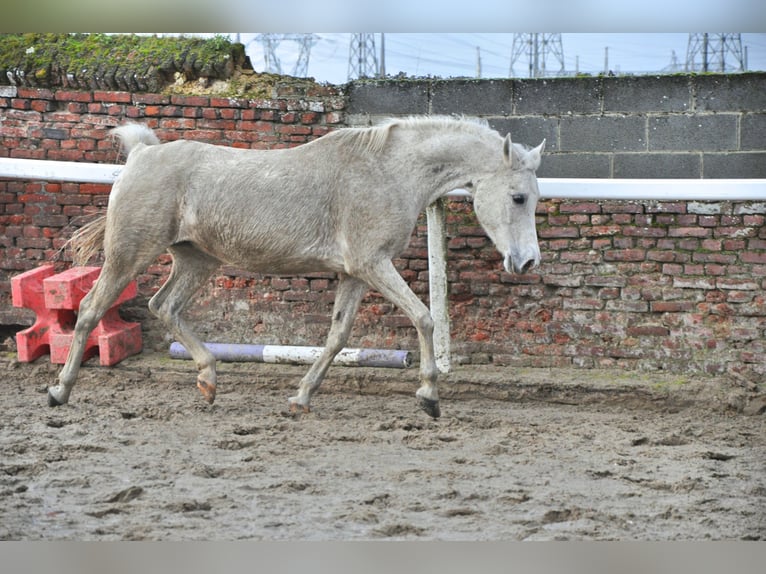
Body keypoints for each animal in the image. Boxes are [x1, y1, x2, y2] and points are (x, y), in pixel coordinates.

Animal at [49, 116, 544, 418]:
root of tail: (141, 154)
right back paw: (59, 392)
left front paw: (301, 398)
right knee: (91, 309)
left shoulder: (354, 274)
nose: (527, 261)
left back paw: (209, 380)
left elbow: (337, 336)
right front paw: (428, 397)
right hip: (129, 254)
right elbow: (424, 318)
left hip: (197, 259)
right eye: (519, 197)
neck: (387, 171)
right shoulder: (372, 263)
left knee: (164, 306)